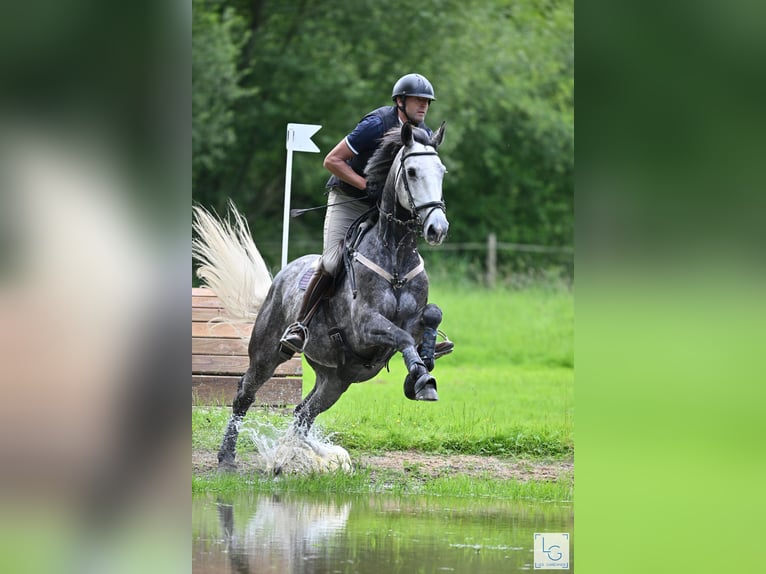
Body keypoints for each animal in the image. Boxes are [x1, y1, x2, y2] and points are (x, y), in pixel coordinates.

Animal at [192, 121, 452, 472]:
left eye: (441, 171)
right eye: (411, 172)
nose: (438, 228)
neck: (396, 255)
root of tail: (279, 278)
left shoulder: (412, 318)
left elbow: (431, 315)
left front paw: (425, 361)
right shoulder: (365, 326)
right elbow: (401, 336)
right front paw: (421, 379)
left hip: (336, 378)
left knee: (304, 413)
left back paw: (291, 459)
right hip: (267, 353)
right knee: (246, 392)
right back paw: (228, 459)